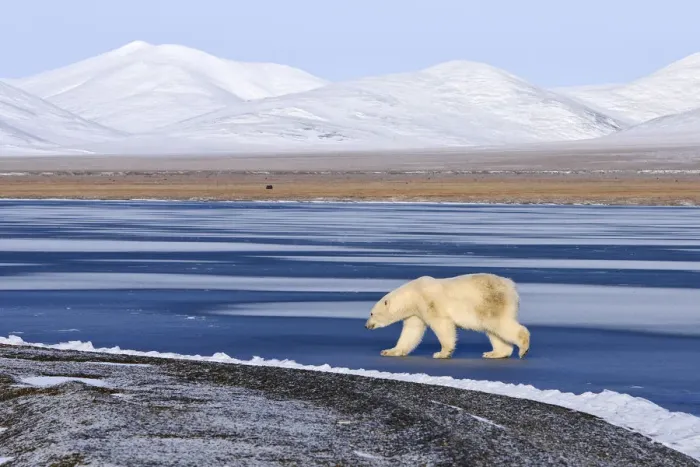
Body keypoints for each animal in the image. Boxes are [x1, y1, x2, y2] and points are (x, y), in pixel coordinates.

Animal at [364, 273, 530, 359]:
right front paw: (389, 351)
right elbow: (411, 331)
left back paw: (523, 348)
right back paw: (495, 353)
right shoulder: (416, 312)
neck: (413, 295)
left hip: (490, 302)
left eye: (371, 313)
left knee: (498, 324)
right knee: (493, 330)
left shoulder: (429, 303)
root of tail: (511, 287)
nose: (366, 325)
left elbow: (442, 324)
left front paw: (442, 353)